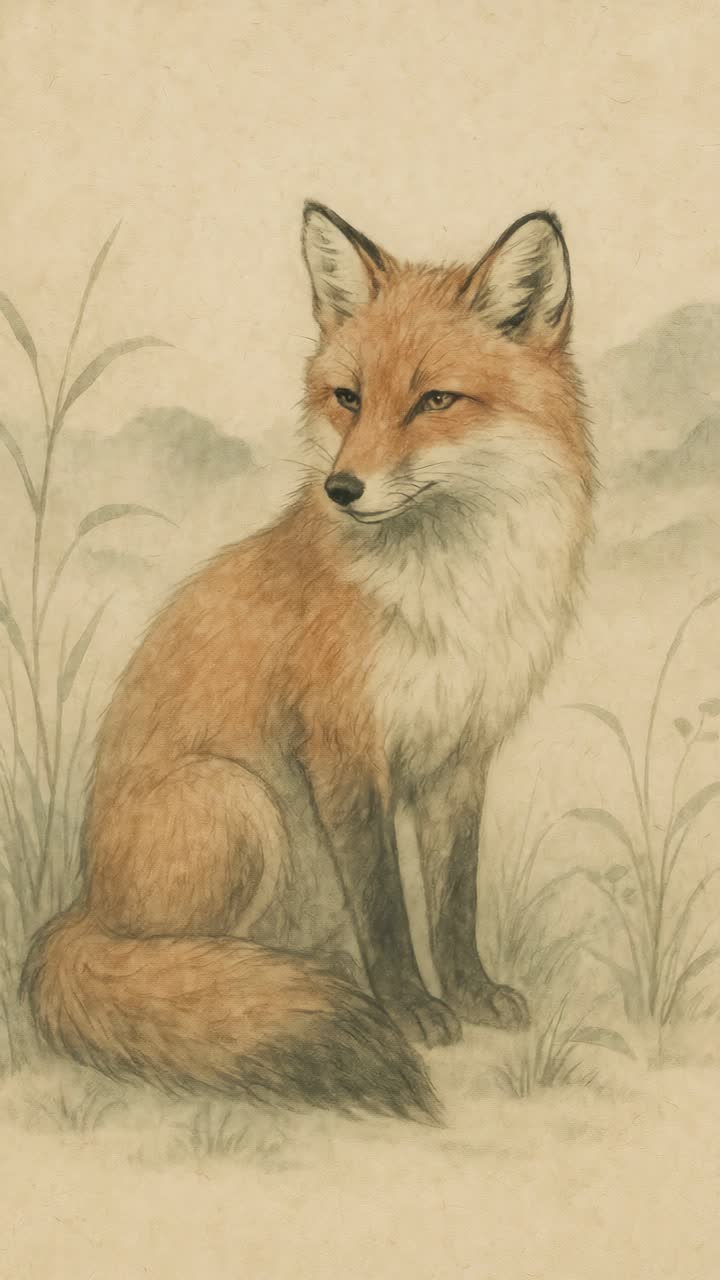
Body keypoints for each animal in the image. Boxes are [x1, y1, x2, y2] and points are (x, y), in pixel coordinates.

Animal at [22, 202, 594, 1122]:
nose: (342, 489)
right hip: (240, 802)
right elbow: (387, 907)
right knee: (178, 967)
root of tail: (81, 907)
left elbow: (453, 900)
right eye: (348, 398)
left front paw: (471, 993)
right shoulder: (343, 750)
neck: (448, 598)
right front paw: (410, 1009)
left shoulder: (461, 758)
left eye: (435, 400)